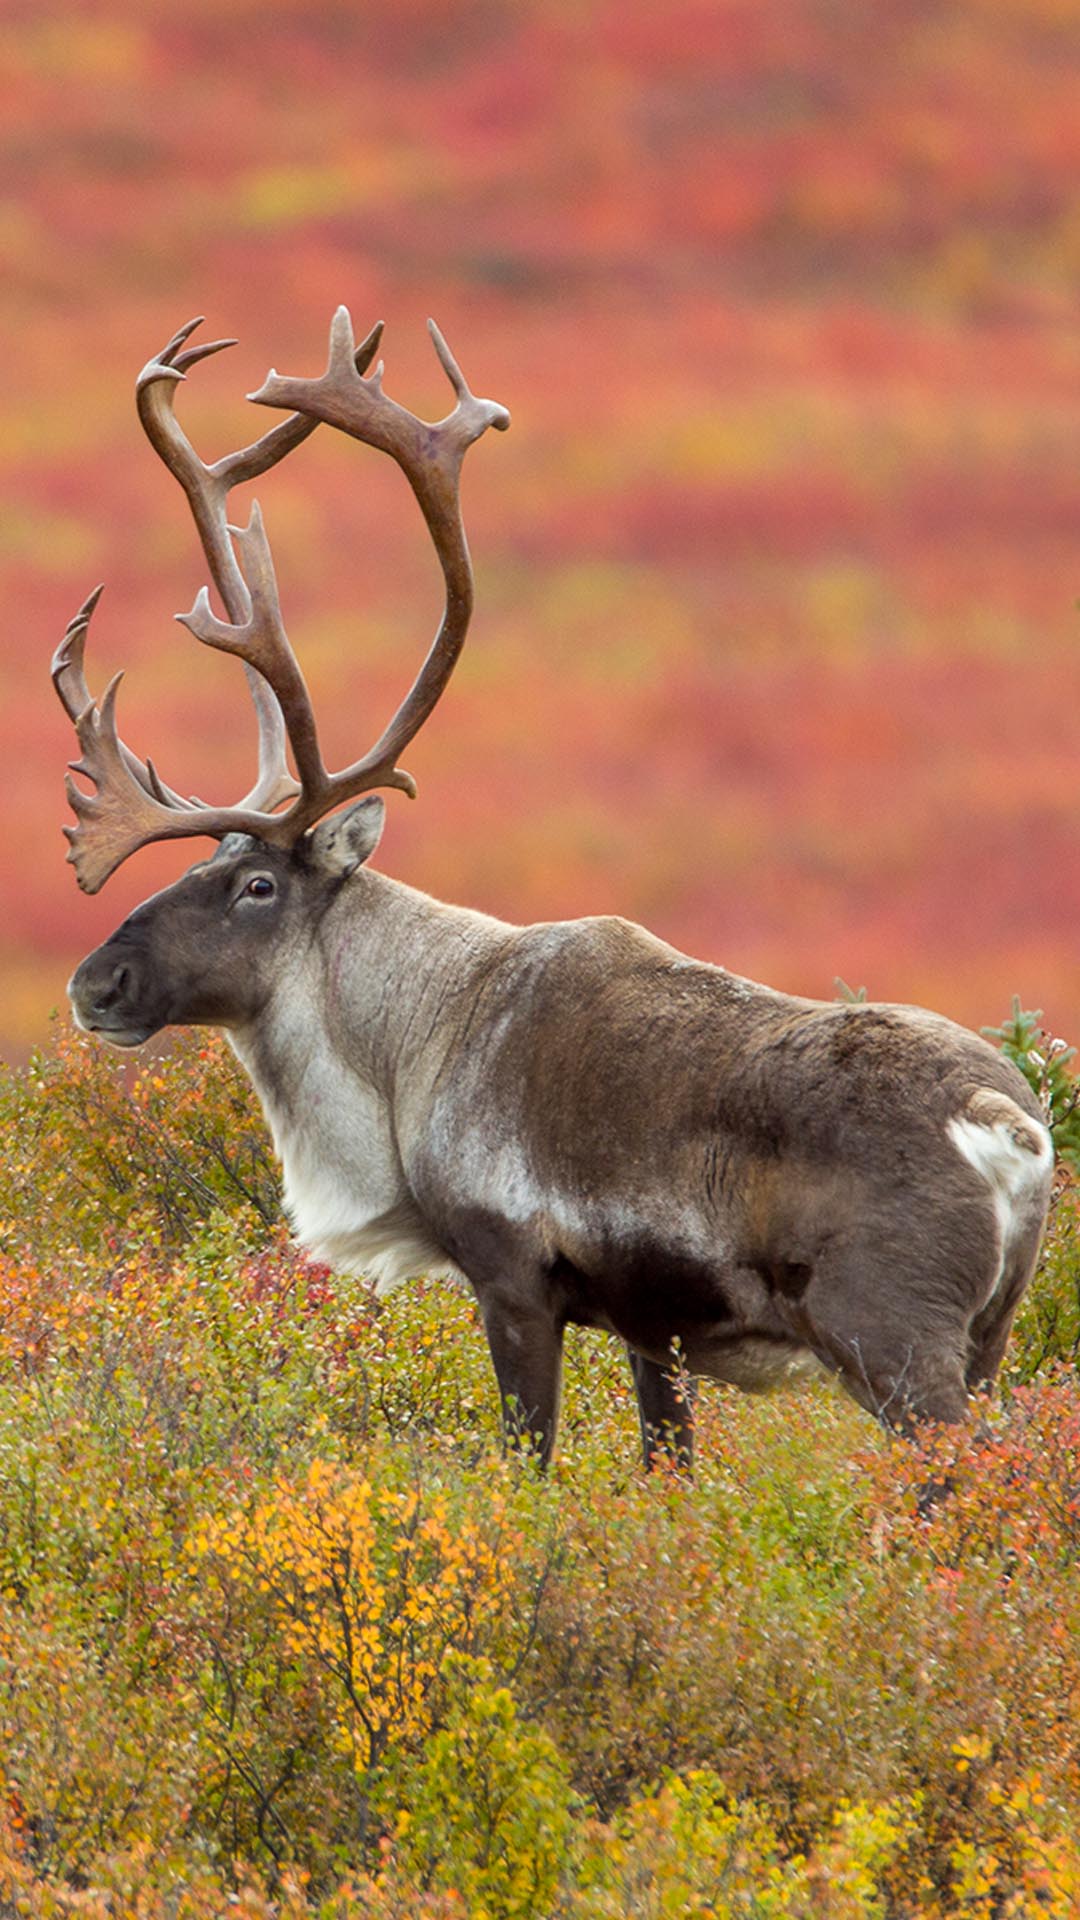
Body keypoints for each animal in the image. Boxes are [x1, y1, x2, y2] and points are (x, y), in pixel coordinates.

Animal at [57, 309, 1054, 1469]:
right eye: (199, 865)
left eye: (256, 883)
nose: (97, 984)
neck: (412, 1047)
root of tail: (1009, 1121)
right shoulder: (653, 1326)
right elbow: (666, 1463)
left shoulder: (514, 1280)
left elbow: (525, 1457)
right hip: (991, 1342)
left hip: (892, 1338)